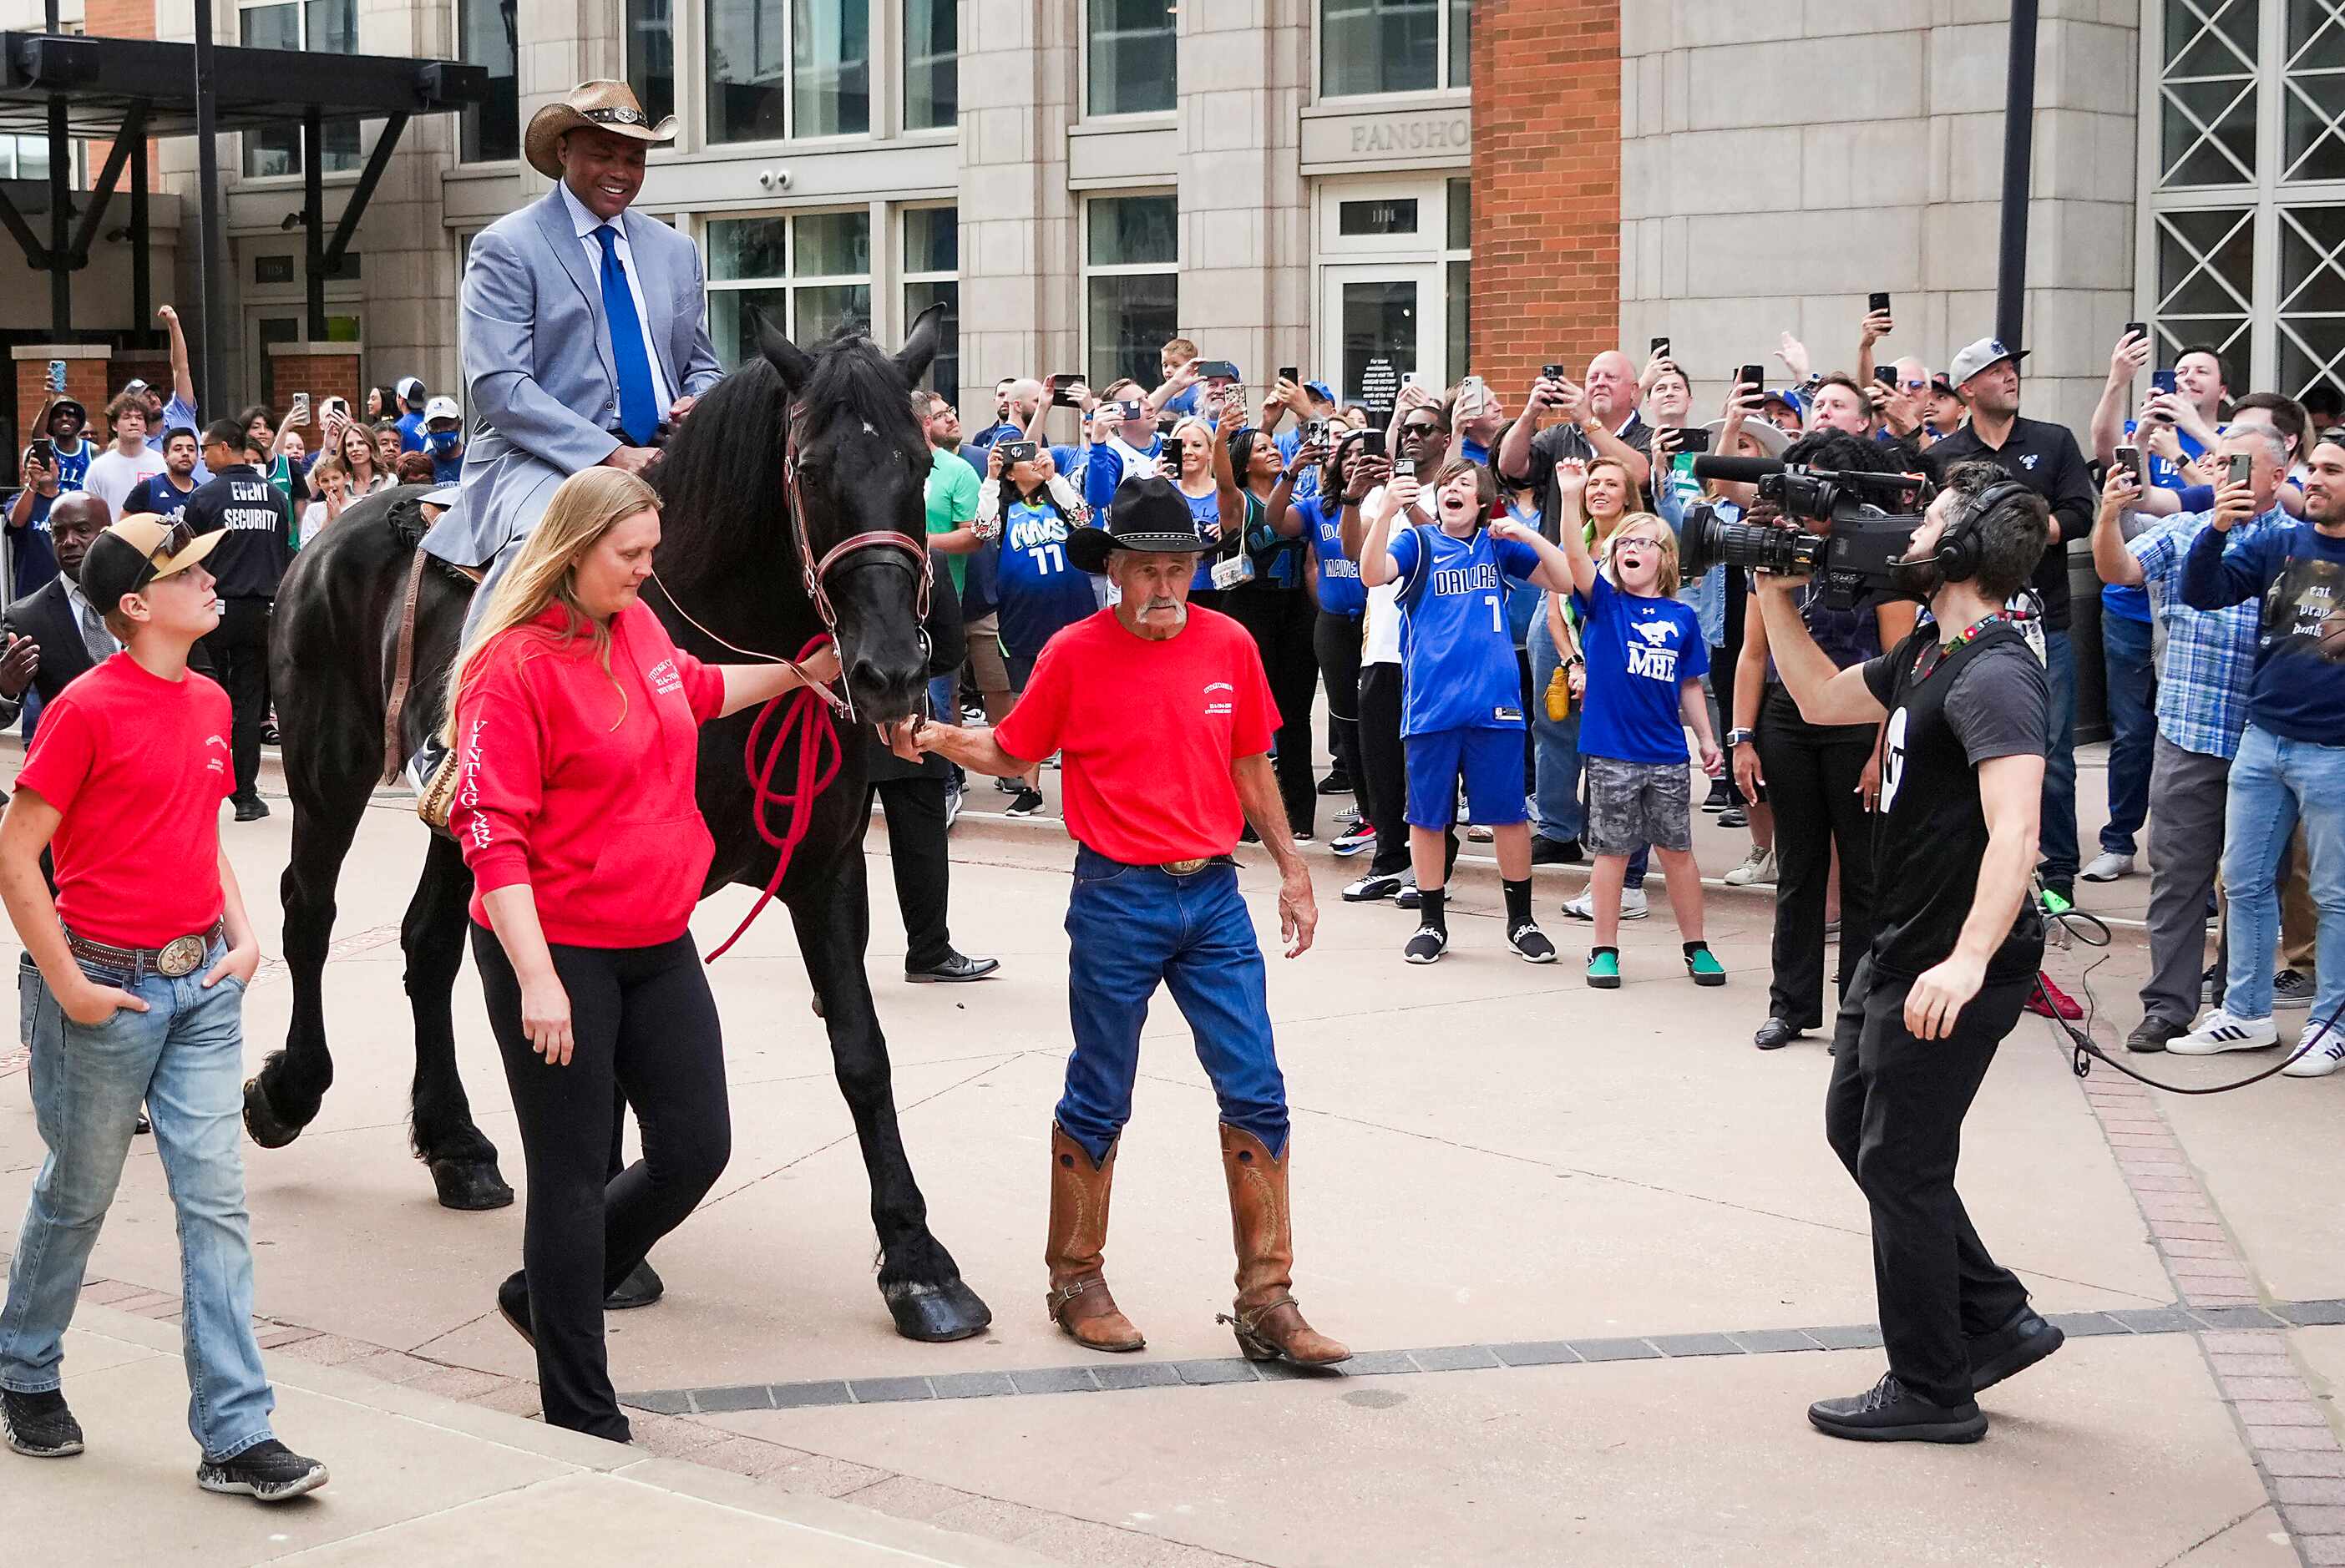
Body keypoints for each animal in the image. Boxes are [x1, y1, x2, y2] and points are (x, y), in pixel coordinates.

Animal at [245, 309, 989, 1349]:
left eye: (921, 465)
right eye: (808, 468)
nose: (890, 670)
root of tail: (332, 529)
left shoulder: (827, 871)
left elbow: (861, 1053)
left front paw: (917, 1260)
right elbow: (595, 1038)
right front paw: (608, 1247)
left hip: (460, 825)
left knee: (425, 944)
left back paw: (455, 1142)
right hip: (327, 771)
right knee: (309, 915)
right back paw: (291, 1089)